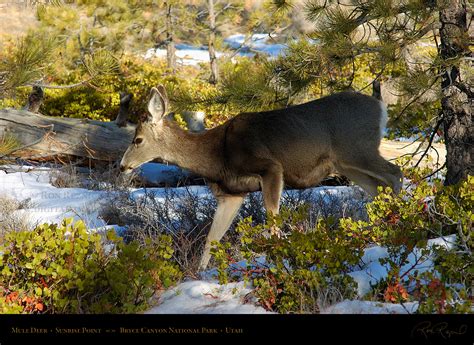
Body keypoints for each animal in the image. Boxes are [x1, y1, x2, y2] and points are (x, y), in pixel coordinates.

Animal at [120, 84, 402, 270]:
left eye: (137, 140)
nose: (122, 166)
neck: (216, 154)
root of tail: (380, 105)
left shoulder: (271, 167)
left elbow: (272, 221)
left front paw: (280, 261)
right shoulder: (232, 194)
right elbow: (212, 238)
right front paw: (198, 274)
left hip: (358, 149)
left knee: (395, 173)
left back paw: (401, 224)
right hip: (348, 163)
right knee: (379, 186)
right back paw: (381, 228)